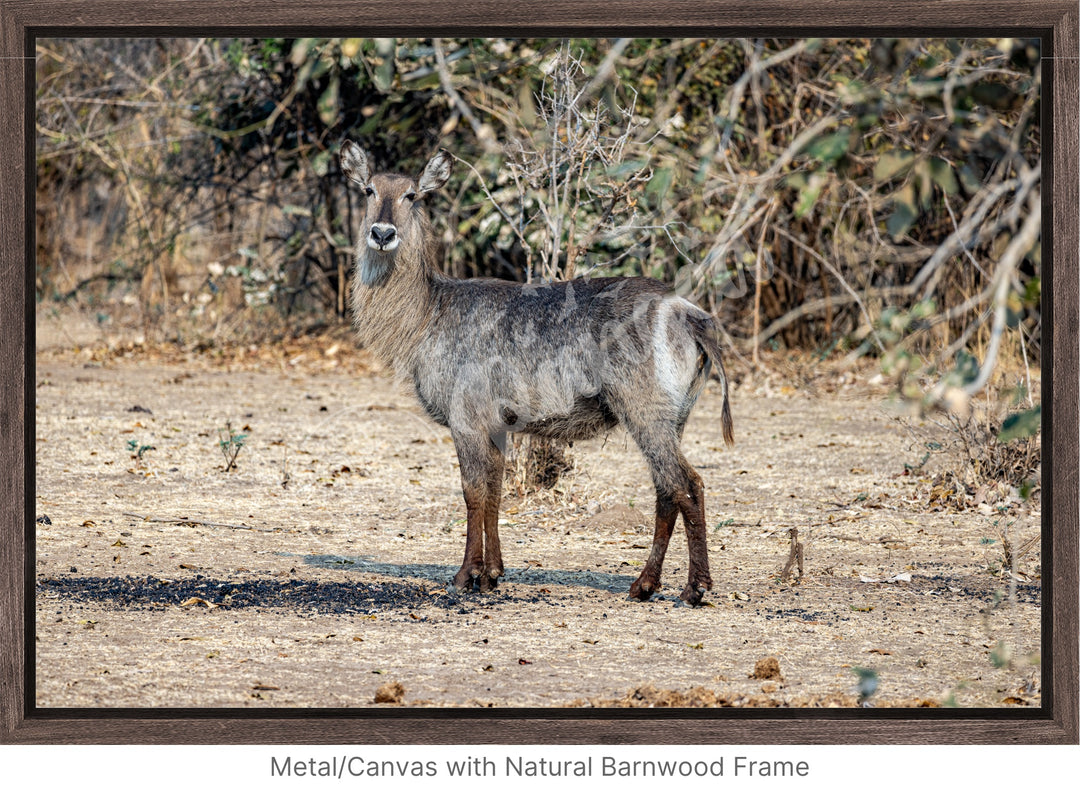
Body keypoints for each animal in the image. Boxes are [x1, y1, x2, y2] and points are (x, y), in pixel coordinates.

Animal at [341, 142, 738, 604]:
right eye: (369, 190)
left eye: (412, 195)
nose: (382, 233)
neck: (428, 312)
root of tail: (688, 313)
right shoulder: (497, 424)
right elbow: (494, 492)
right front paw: (492, 573)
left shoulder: (465, 419)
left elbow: (472, 493)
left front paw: (465, 576)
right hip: (675, 417)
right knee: (666, 491)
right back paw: (644, 585)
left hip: (645, 411)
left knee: (687, 484)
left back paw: (694, 588)